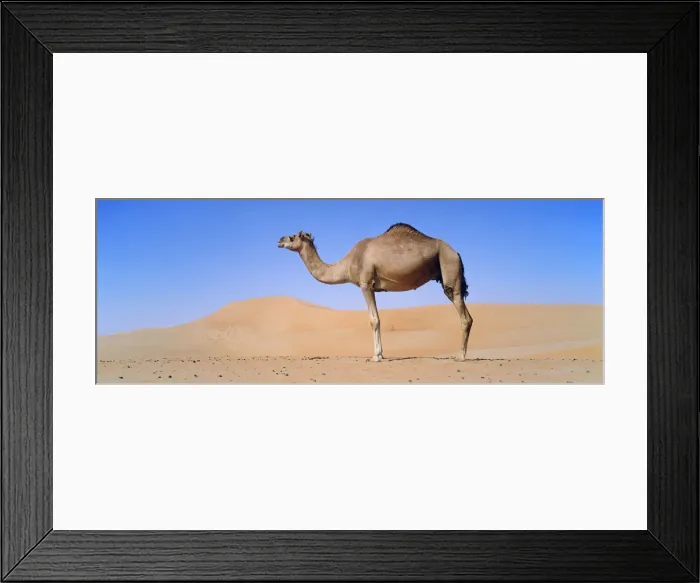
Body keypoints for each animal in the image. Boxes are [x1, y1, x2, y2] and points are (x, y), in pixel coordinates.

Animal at [277, 223, 473, 362]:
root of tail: (456, 252)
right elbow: (378, 318)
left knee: (463, 314)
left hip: (449, 268)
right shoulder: (372, 287)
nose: (279, 240)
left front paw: (376, 356)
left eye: (292, 236)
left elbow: (374, 320)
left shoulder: (365, 284)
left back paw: (460, 356)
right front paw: (381, 354)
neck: (348, 263)